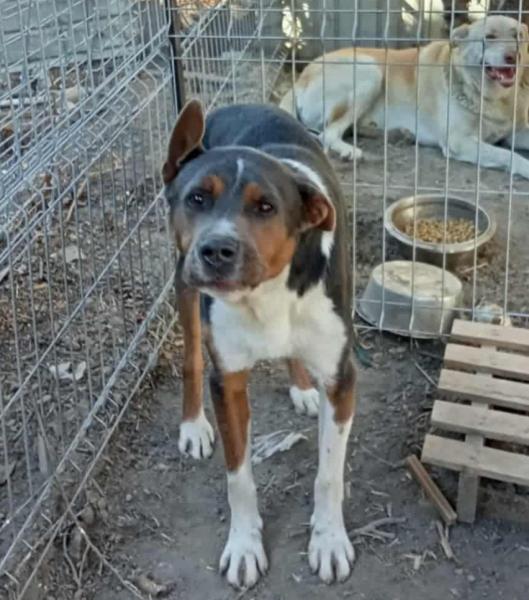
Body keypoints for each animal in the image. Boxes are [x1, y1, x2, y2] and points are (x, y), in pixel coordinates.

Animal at [162, 101, 357, 588]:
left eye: (266, 207)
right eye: (197, 198)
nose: (217, 250)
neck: (265, 292)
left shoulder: (341, 378)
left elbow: (329, 473)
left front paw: (328, 540)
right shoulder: (228, 381)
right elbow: (239, 477)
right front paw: (245, 547)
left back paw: (302, 388)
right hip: (184, 283)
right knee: (191, 357)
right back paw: (193, 425)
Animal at [280, 15, 529, 178]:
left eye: (518, 36)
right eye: (490, 37)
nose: (512, 56)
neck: (493, 97)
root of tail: (301, 77)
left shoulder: (512, 132)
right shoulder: (458, 140)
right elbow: (508, 155)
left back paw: (398, 134)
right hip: (369, 70)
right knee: (328, 133)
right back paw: (349, 150)